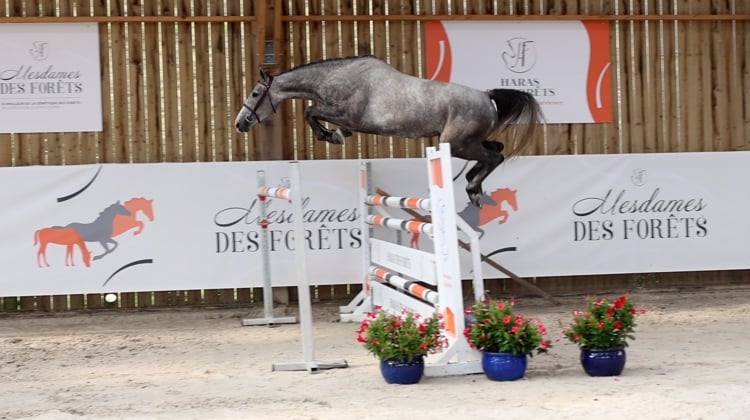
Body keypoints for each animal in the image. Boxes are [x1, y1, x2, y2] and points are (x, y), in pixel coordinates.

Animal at [235, 55, 540, 207]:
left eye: (255, 94)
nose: (240, 124)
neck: (336, 77)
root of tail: (487, 96)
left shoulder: (347, 114)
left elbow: (310, 112)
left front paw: (329, 136)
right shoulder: (346, 119)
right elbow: (321, 118)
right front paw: (336, 135)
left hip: (457, 143)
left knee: (495, 156)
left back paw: (473, 187)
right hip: (467, 141)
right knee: (496, 149)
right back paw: (473, 185)